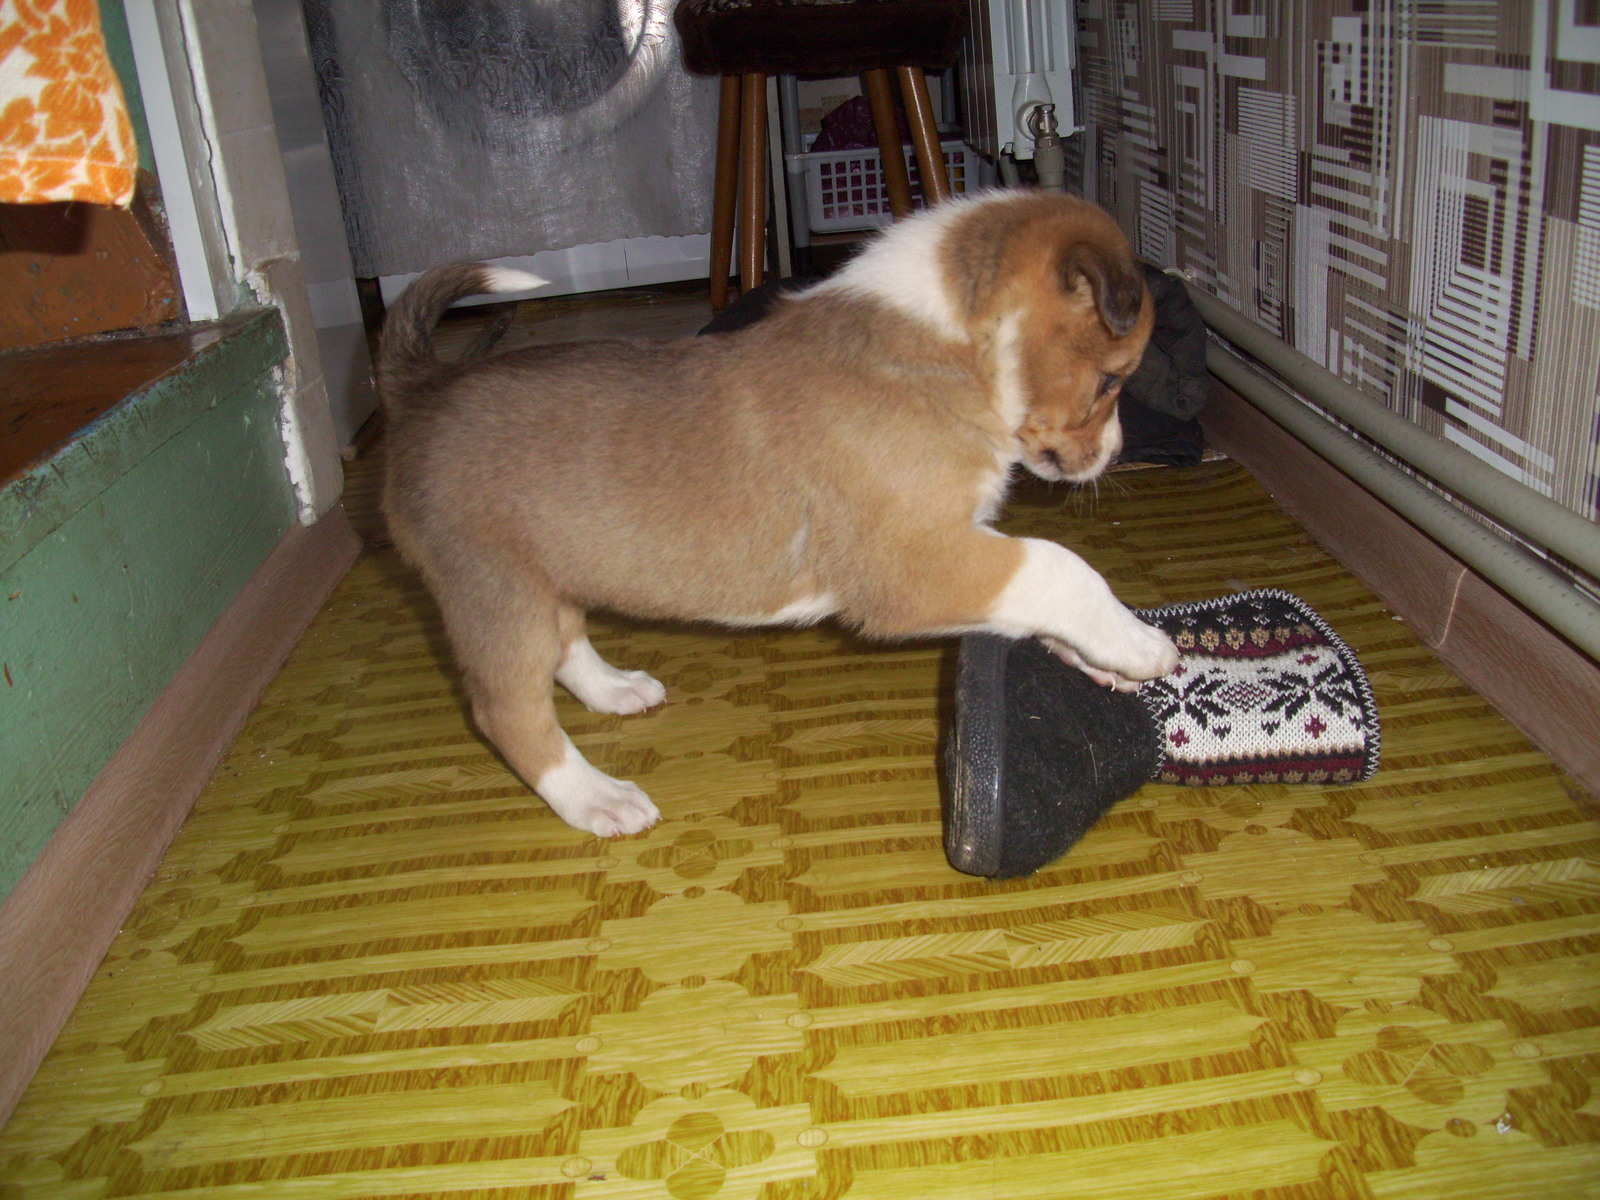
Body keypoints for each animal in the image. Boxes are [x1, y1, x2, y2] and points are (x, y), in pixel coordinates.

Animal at [374, 192, 1177, 838]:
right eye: (1112, 380)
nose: (1113, 456)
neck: (953, 345)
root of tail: (423, 390)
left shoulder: (962, 551)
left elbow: (1038, 595)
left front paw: (1103, 655)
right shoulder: (912, 566)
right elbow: (1059, 566)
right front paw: (1142, 644)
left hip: (548, 576)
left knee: (567, 644)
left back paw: (617, 690)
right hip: (494, 592)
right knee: (509, 712)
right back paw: (598, 798)